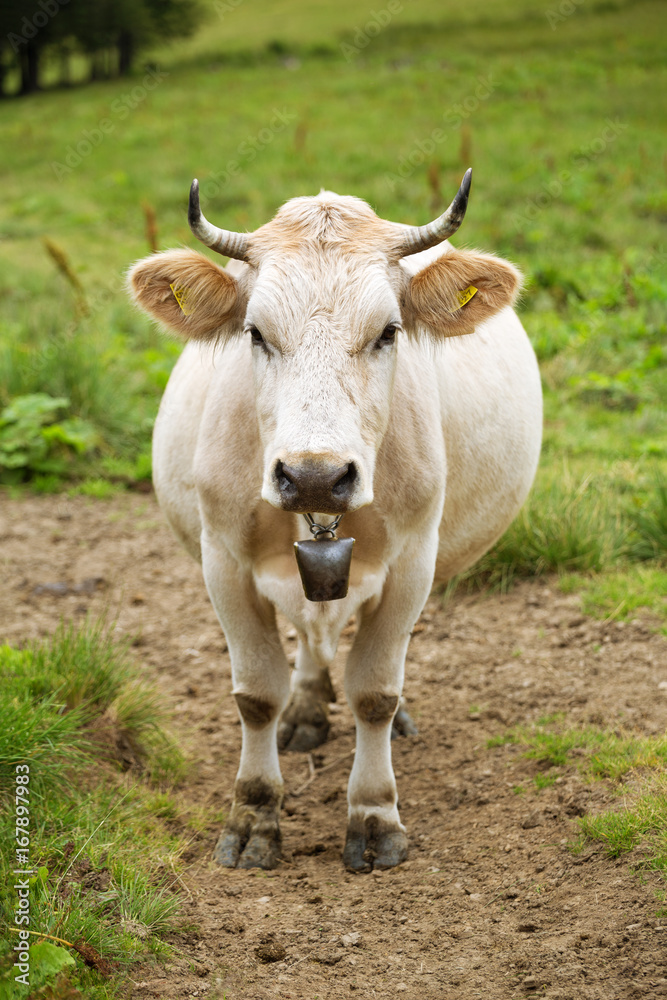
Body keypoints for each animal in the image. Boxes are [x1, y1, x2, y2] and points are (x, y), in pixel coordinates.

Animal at [129, 174, 544, 876]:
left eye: (388, 331)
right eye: (255, 332)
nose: (315, 475)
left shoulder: (412, 562)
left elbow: (375, 691)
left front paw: (375, 817)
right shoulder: (223, 560)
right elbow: (255, 694)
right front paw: (254, 815)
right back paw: (305, 707)